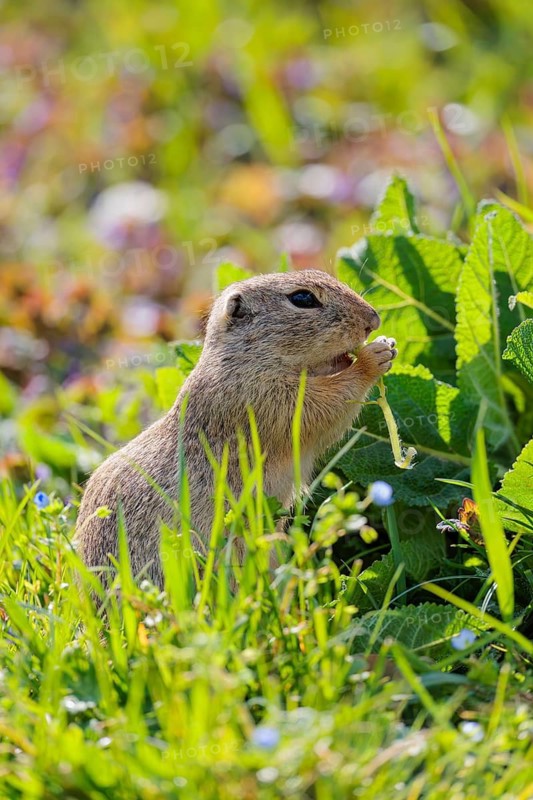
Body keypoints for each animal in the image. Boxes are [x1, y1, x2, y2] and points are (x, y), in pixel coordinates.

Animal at [75, 270, 397, 587]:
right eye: (302, 298)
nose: (373, 320)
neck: (245, 357)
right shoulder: (262, 397)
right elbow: (321, 406)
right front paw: (373, 357)